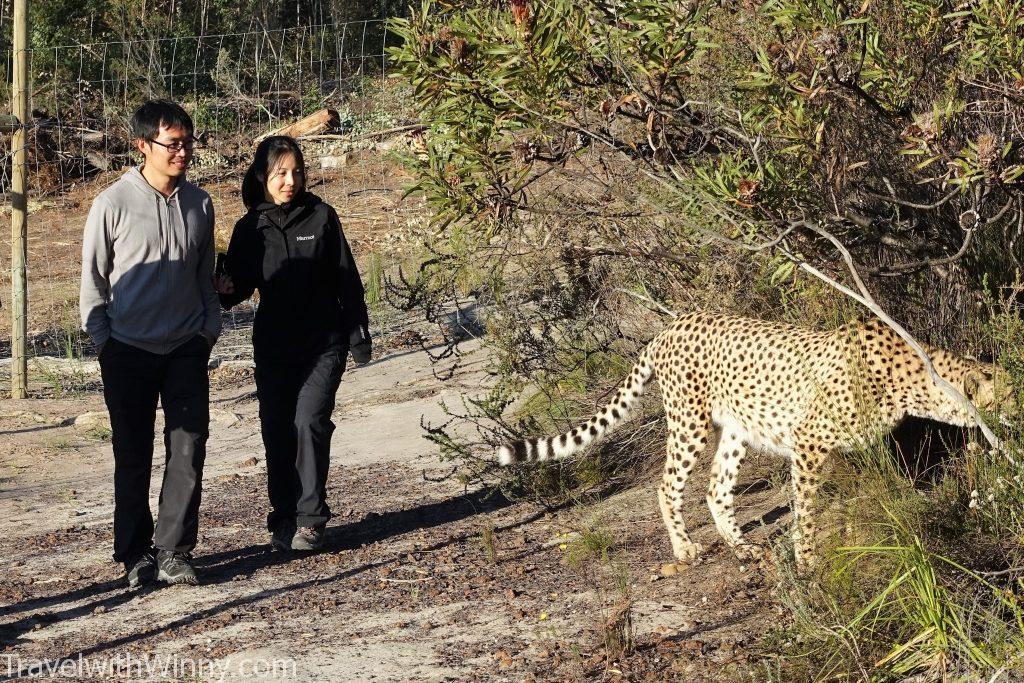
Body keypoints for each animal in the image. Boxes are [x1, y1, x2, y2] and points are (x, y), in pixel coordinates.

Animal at [499, 313, 1003, 569]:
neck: (915, 379)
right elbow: (806, 509)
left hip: (737, 429)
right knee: (668, 486)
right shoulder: (809, 442)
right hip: (691, 423)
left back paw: (741, 547)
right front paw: (807, 561)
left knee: (715, 489)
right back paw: (684, 548)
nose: (1008, 433)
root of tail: (670, 325)